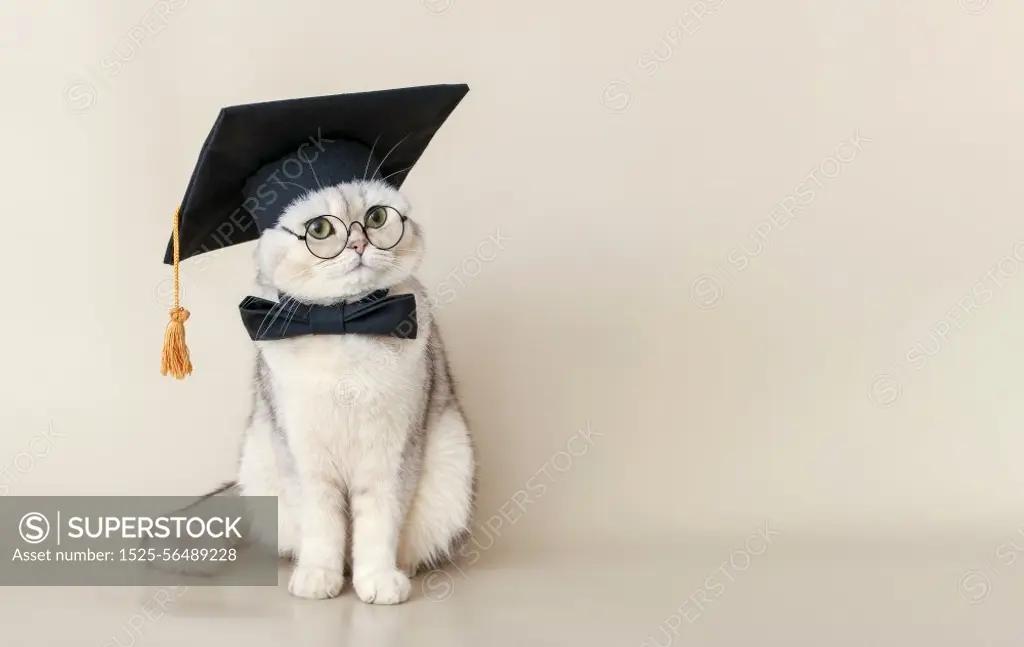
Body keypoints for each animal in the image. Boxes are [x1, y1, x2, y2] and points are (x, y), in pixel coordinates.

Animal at [235, 179, 475, 606]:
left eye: (376, 218)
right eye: (320, 229)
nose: (359, 244)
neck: (342, 325)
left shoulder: (392, 455)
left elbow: (379, 523)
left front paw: (378, 579)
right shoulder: (303, 457)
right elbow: (321, 525)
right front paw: (318, 576)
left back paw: (400, 570)